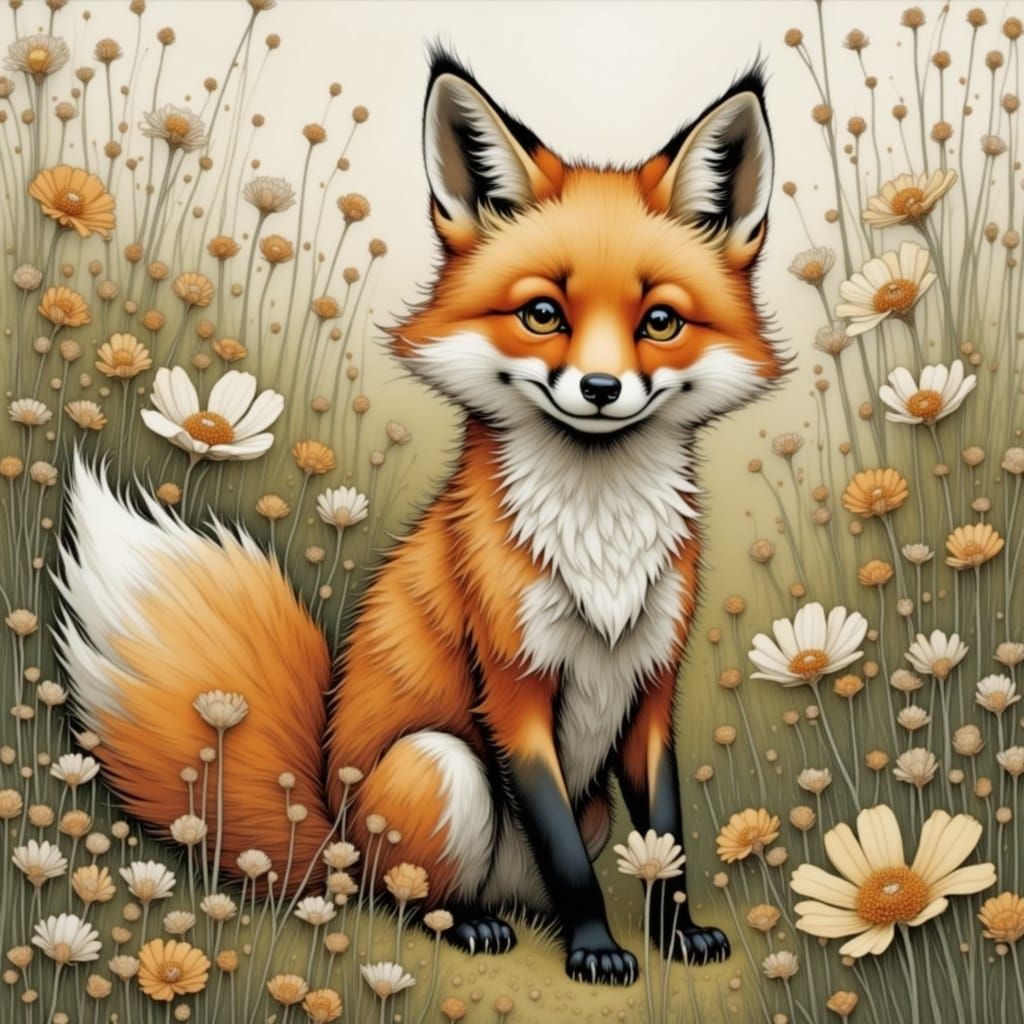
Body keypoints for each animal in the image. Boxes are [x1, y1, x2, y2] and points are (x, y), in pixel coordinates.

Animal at [55, 51, 784, 986]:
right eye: (543, 313)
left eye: (659, 321)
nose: (600, 389)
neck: (600, 542)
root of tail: (325, 830)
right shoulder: (512, 683)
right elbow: (570, 863)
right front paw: (595, 947)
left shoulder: (654, 680)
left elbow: (667, 837)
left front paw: (676, 933)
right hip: (441, 765)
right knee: (415, 898)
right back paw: (471, 922)